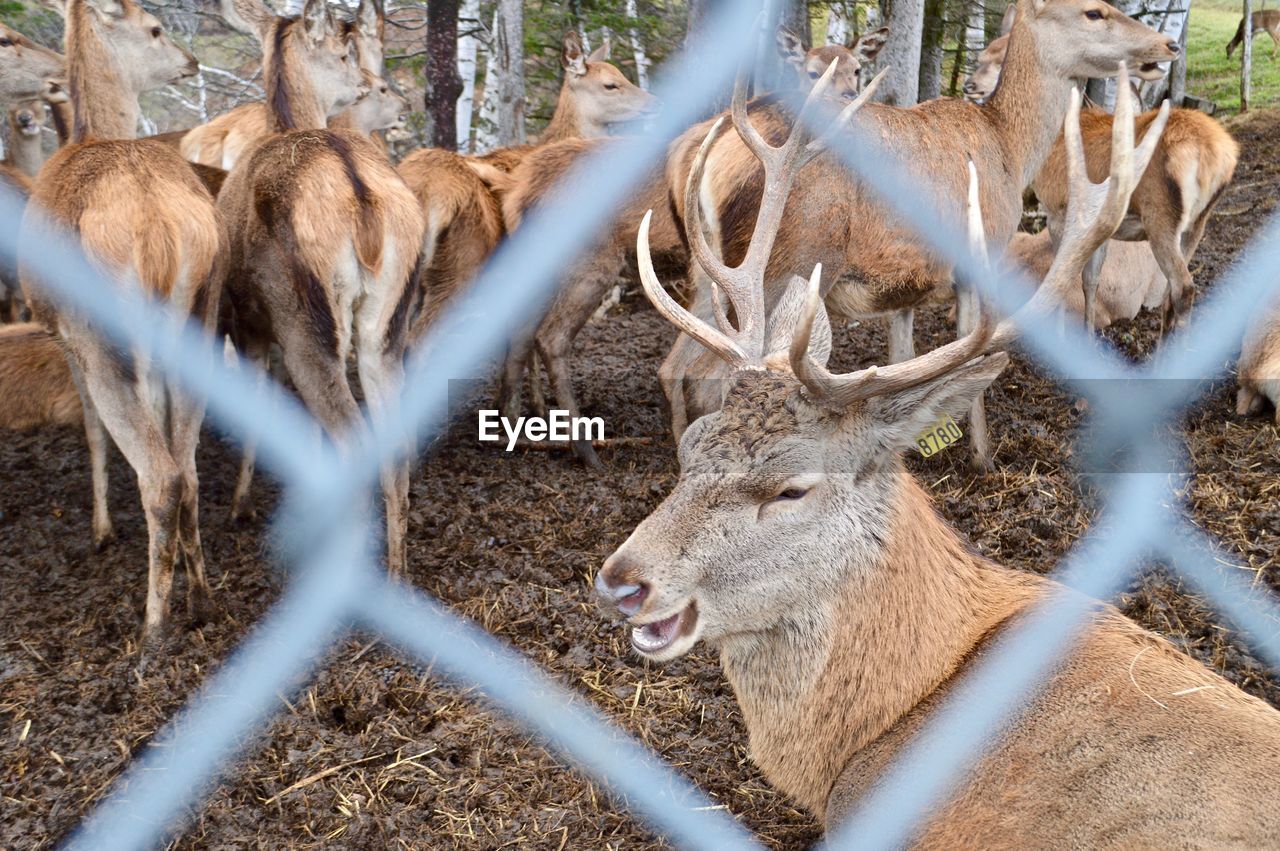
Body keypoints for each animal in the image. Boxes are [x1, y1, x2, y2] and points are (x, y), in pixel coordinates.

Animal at [17, 0, 226, 652]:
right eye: (156, 29)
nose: (190, 61)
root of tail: (159, 227)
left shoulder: (66, 339)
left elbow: (90, 432)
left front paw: (101, 529)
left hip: (100, 336)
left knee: (161, 474)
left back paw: (154, 630)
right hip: (202, 315)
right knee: (187, 469)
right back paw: (202, 600)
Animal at [215, 0, 424, 570]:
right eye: (346, 53)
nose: (369, 85)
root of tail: (362, 199)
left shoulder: (247, 324)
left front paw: (240, 504)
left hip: (304, 322)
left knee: (353, 444)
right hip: (387, 324)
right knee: (394, 442)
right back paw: (396, 570)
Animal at [660, 0, 1177, 470]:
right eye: (1095, 11)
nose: (1167, 45)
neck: (1010, 149)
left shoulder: (904, 281)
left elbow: (901, 355)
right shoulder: (980, 254)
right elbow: (968, 347)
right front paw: (983, 458)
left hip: (709, 272)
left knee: (676, 362)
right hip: (788, 259)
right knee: (709, 376)